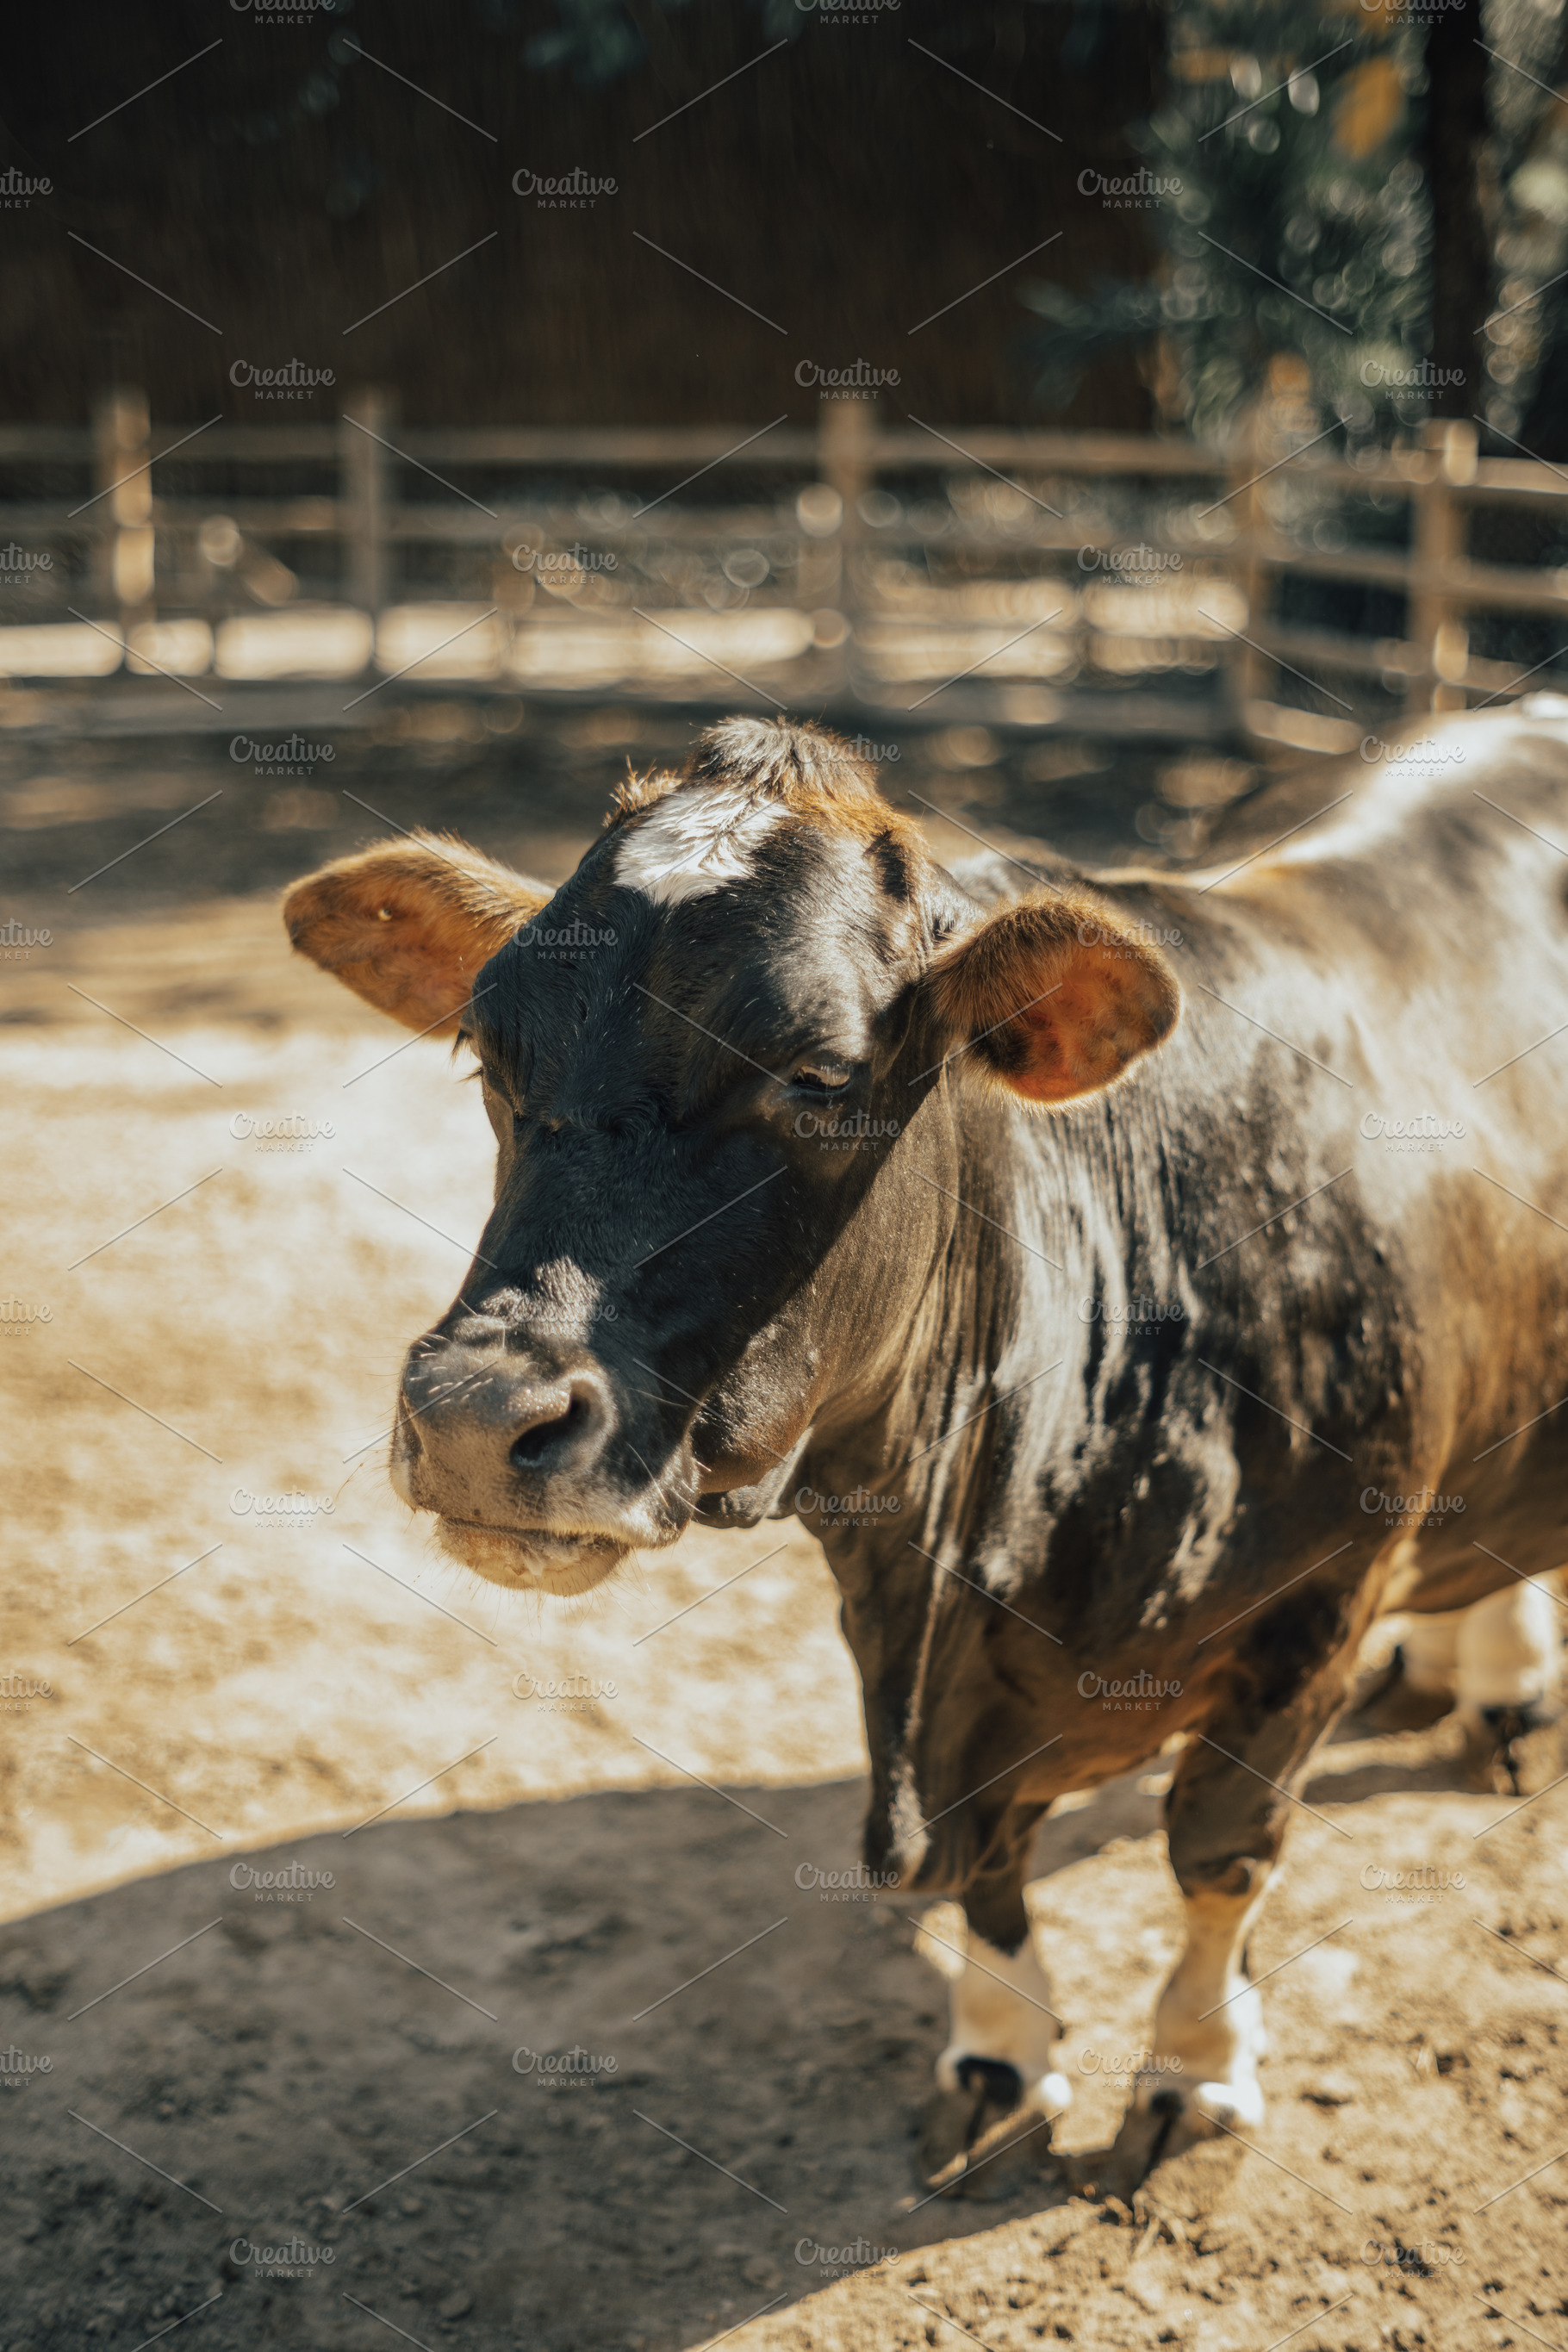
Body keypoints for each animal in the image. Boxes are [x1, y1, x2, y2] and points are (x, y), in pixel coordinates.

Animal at [284, 710, 1568, 2191]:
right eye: (490, 1057)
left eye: (818, 1078)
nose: (476, 1416)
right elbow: (987, 1869)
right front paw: (999, 2049)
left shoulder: (1319, 1602)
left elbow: (1219, 1852)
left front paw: (1194, 2067)